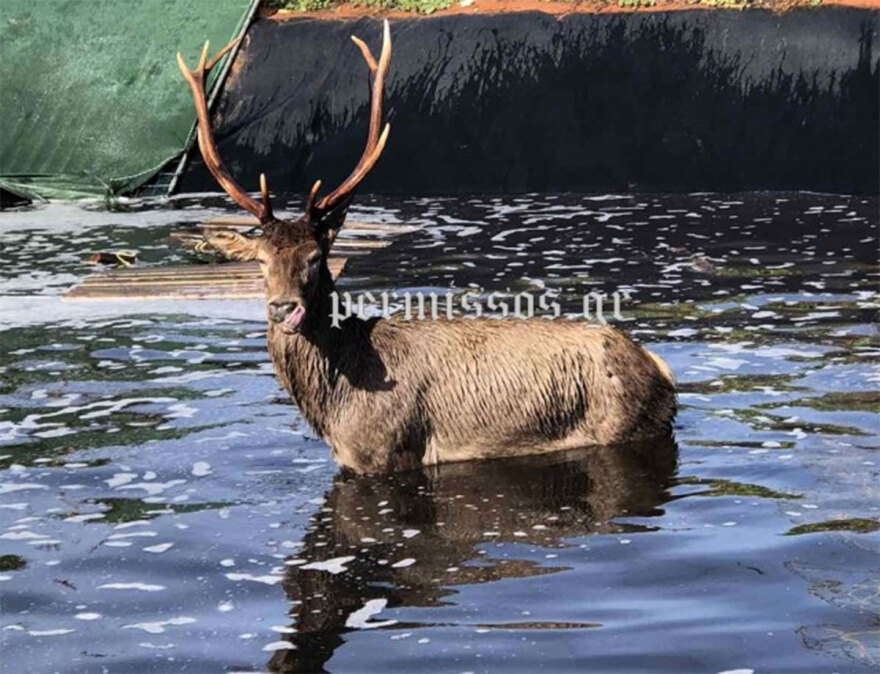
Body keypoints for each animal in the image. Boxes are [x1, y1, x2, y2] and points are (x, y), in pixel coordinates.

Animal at [177, 19, 672, 472]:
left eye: (316, 257)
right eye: (260, 260)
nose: (284, 308)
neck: (337, 406)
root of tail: (661, 369)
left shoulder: (386, 452)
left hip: (622, 425)